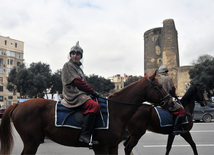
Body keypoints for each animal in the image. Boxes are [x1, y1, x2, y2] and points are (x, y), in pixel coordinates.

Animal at [0, 71, 171, 154]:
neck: (115, 111)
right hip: (31, 142)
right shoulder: (101, 148)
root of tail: (17, 105)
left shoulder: (113, 147)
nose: (171, 102)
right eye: (159, 87)